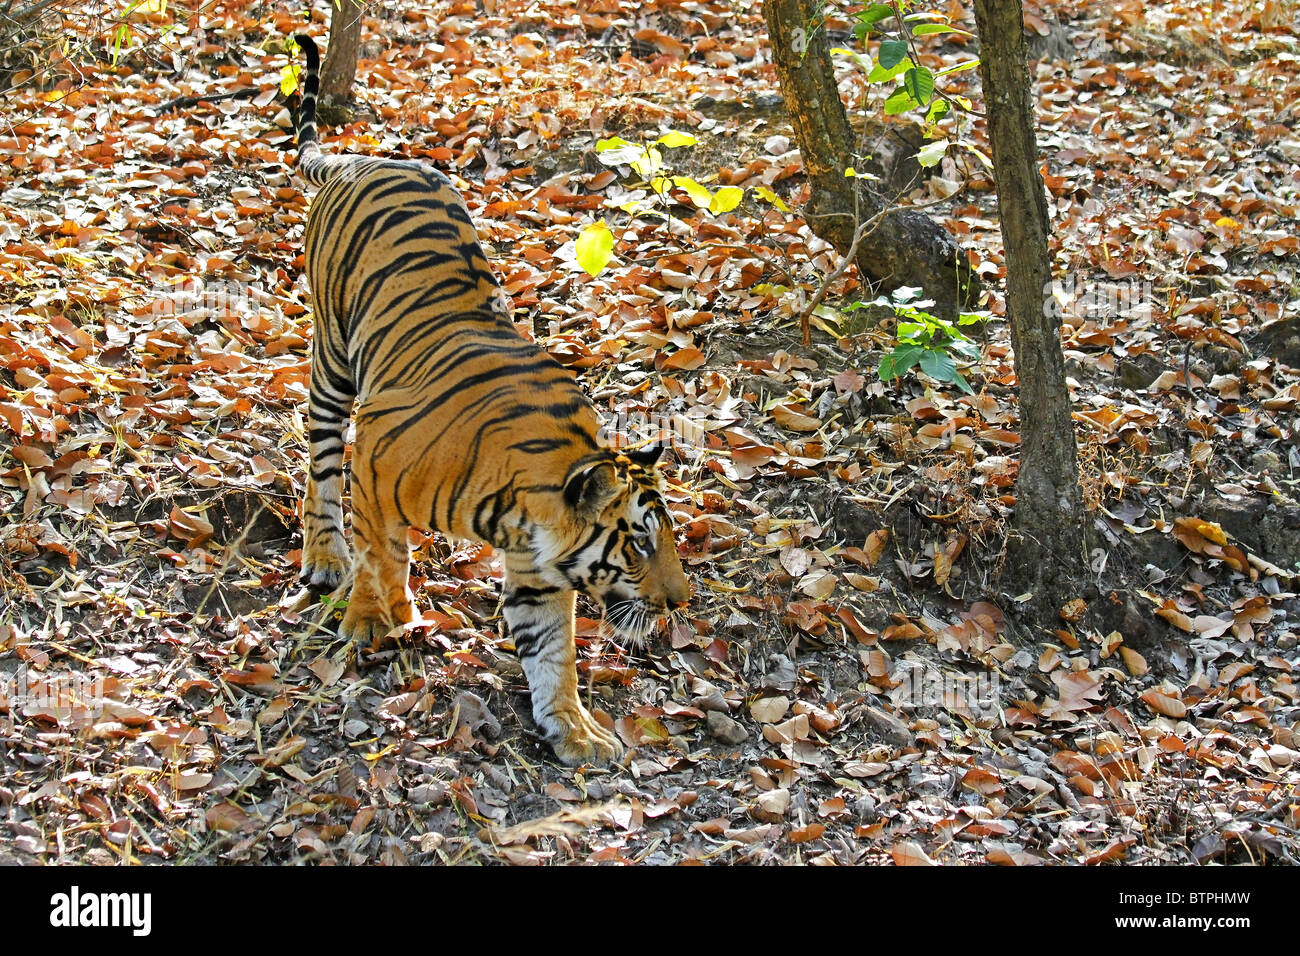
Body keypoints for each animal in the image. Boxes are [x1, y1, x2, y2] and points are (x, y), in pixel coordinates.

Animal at [284, 35, 691, 770]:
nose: (680, 602)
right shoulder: (375, 454)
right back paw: (328, 558)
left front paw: (574, 730)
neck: (525, 511)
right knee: (322, 464)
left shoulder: (540, 574)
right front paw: (373, 617)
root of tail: (361, 157)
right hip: (333, 362)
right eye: (643, 545)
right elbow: (380, 551)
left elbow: (551, 652)